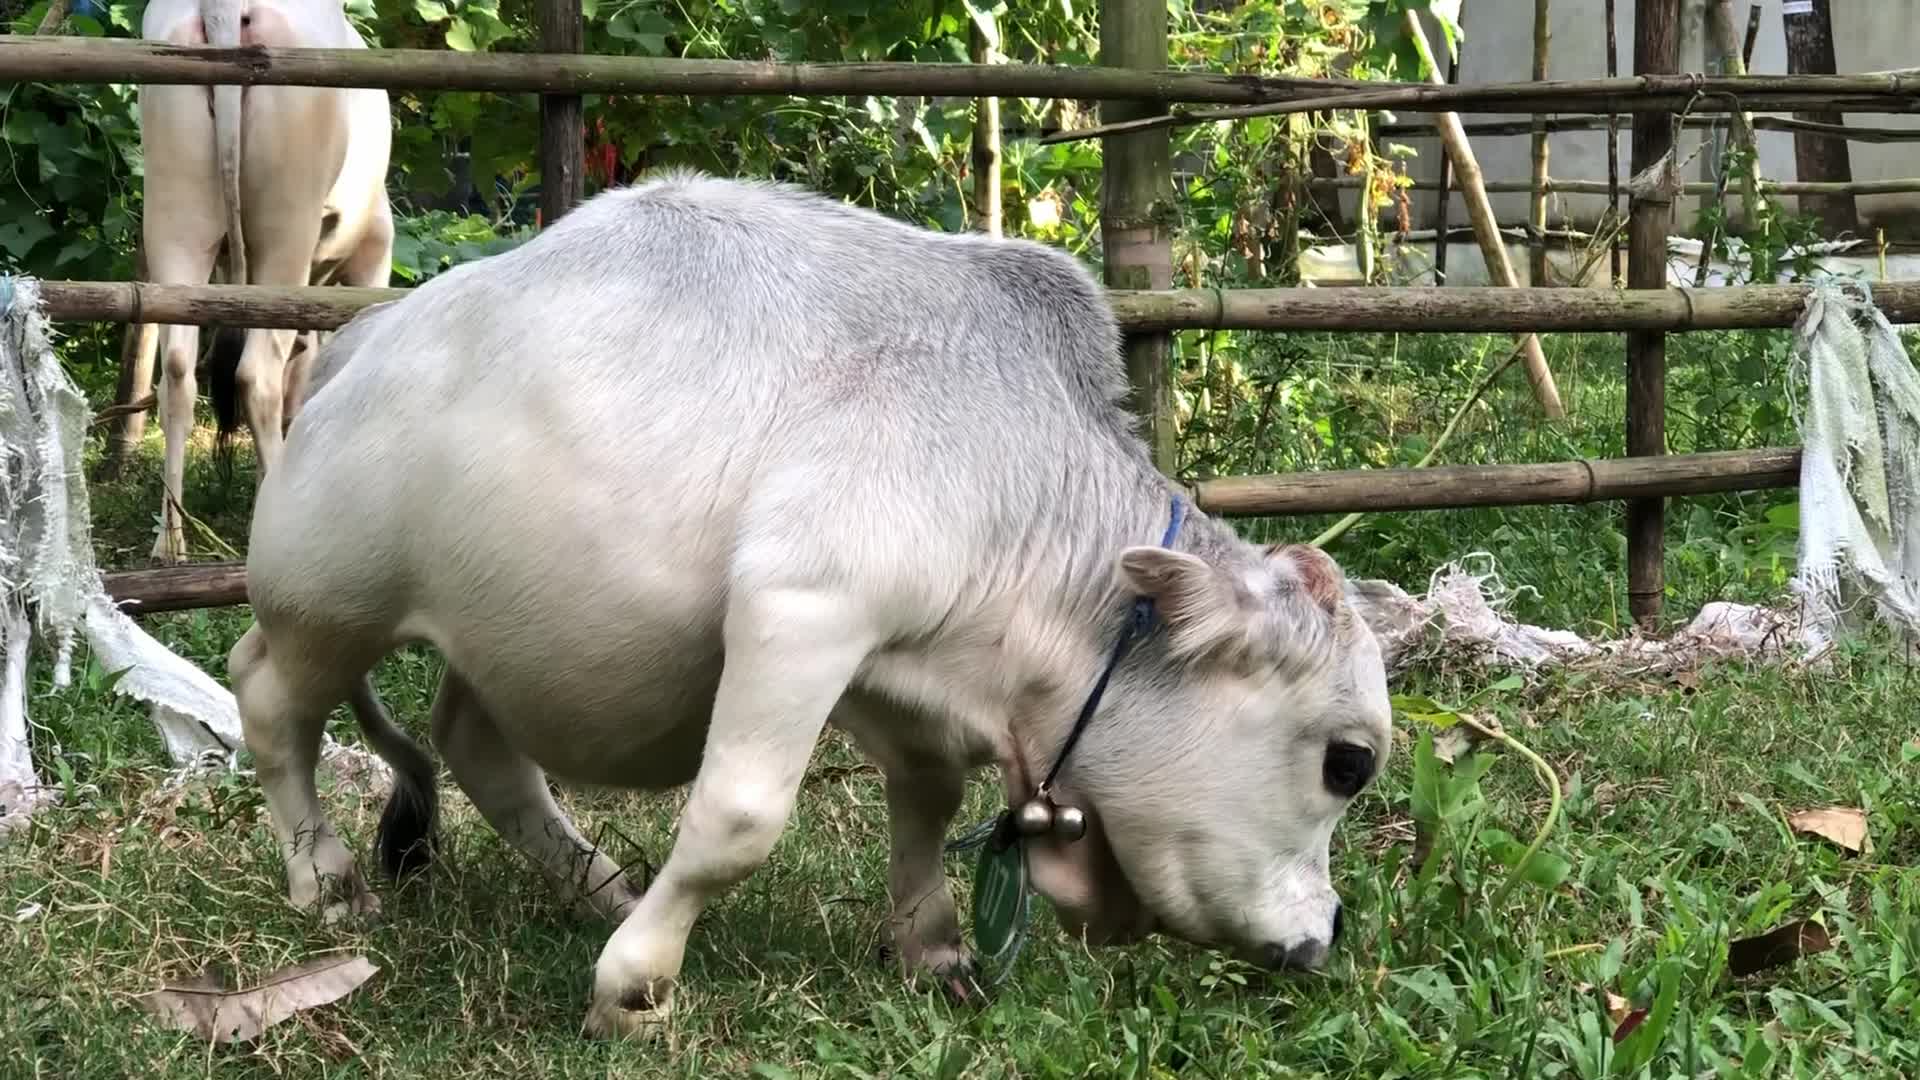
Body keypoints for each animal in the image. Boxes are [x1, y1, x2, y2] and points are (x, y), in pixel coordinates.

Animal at [137, 0, 395, 563]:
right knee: (258, 375)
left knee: (177, 372)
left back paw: (170, 543)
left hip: (175, 210)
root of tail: (222, 8)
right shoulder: (375, 251)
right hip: (287, 219)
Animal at [228, 171, 1394, 1039]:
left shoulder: (892, 659)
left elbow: (927, 795)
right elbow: (738, 819)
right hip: (328, 604)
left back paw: (597, 883)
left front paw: (929, 945)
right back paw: (326, 878)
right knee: (268, 699)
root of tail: (362, 340)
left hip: (499, 635)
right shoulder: (803, 610)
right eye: (1348, 762)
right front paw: (634, 984)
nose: (1329, 934)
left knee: (474, 743)